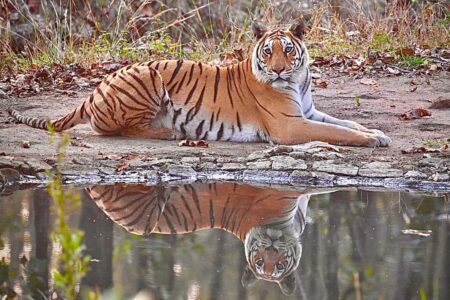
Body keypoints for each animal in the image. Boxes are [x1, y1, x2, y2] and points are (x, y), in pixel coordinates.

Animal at [7, 20, 390, 147]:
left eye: (288, 50)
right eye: (268, 52)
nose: (279, 70)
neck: (298, 81)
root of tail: (94, 89)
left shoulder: (308, 112)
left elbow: (346, 122)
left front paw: (378, 133)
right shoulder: (290, 126)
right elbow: (337, 132)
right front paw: (371, 141)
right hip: (148, 77)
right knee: (111, 129)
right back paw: (169, 132)